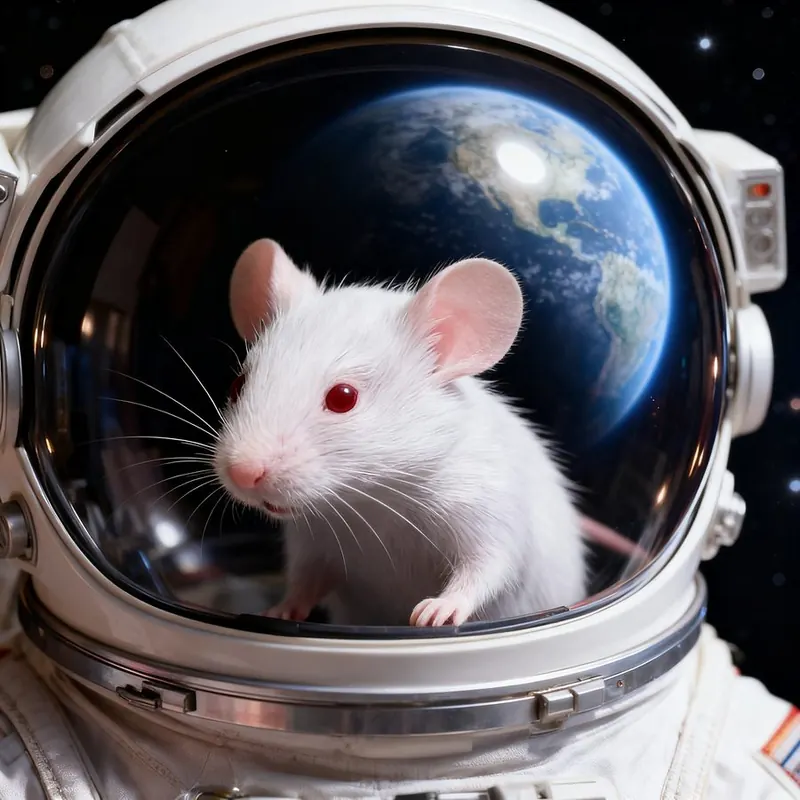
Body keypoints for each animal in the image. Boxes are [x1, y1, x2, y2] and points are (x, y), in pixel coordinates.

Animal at [213, 238, 589, 627]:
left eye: (343, 397)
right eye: (238, 385)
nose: (242, 474)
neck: (373, 499)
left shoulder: (486, 507)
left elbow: (490, 567)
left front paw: (440, 609)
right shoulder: (312, 541)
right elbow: (307, 580)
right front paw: (281, 610)